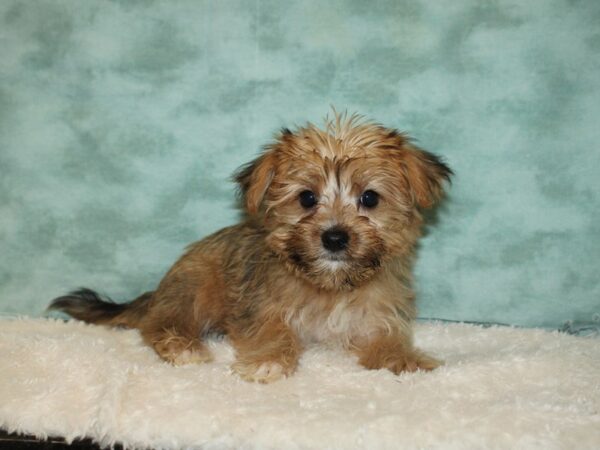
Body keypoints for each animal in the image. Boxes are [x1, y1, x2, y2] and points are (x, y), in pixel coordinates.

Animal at [49, 113, 450, 384]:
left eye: (369, 198)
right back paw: (182, 346)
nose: (335, 237)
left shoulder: (381, 315)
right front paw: (268, 361)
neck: (331, 287)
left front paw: (404, 360)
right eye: (307, 198)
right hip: (193, 287)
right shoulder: (262, 309)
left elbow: (388, 339)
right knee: (159, 323)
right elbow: (273, 333)